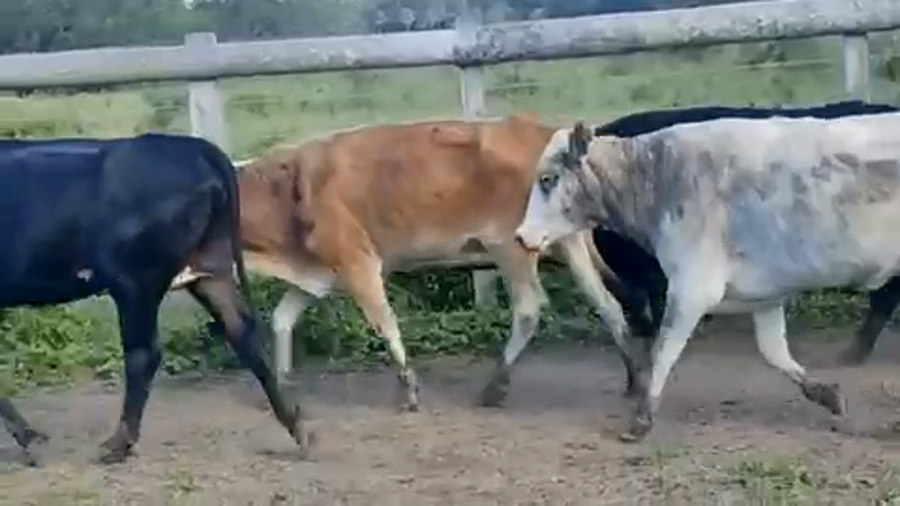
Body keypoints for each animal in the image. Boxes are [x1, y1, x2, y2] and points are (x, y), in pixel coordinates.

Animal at [0, 134, 309, 467]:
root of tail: (191, 145)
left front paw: (29, 438)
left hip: (136, 281)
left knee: (143, 354)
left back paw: (118, 444)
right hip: (208, 270)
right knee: (243, 332)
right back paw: (297, 425)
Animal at [187, 114, 637, 413]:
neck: (288, 189)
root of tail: (541, 132)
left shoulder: (359, 263)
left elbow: (384, 324)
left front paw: (409, 390)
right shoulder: (318, 274)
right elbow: (282, 320)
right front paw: (282, 381)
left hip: (510, 247)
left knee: (529, 309)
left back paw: (494, 387)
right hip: (568, 244)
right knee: (607, 305)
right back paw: (633, 378)